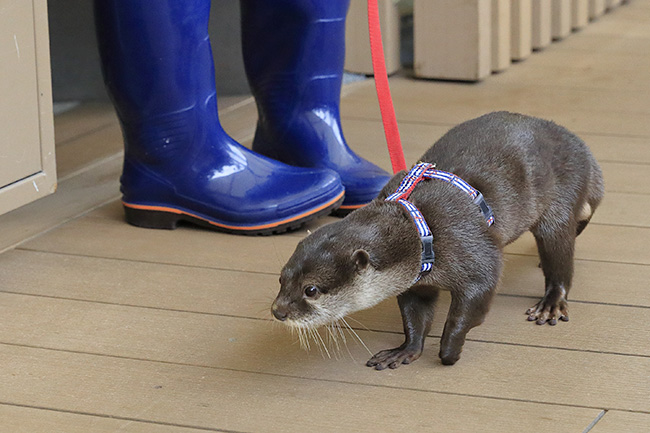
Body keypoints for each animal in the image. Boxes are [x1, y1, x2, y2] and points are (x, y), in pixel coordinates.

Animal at [268, 111, 604, 368]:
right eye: (281, 280)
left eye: (311, 290)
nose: (278, 311)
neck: (422, 230)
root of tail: (581, 147)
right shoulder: (416, 279)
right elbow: (415, 313)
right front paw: (406, 349)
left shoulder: (471, 245)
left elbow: (477, 296)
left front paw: (449, 351)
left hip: (561, 199)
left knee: (559, 249)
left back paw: (550, 302)